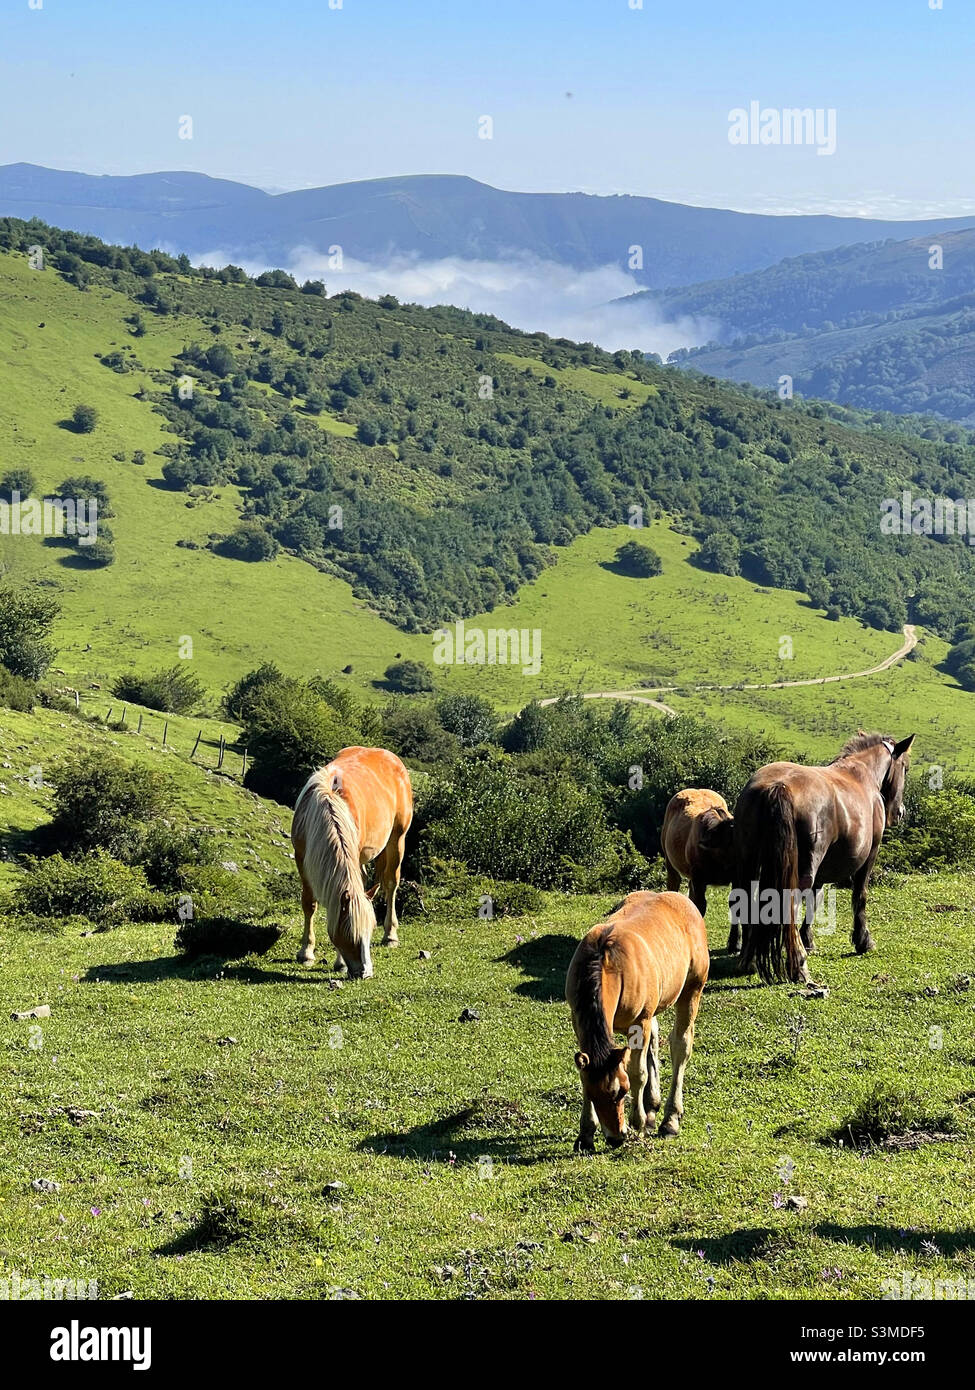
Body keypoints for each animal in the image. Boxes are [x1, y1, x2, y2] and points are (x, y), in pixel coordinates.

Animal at [291, 746, 413, 979]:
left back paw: (390, 935)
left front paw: (340, 963)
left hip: (398, 839)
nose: (365, 972)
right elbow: (309, 904)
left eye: (370, 930)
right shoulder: (301, 860)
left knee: (391, 884)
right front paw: (306, 952)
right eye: (348, 932)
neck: (327, 802)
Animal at [565, 891, 709, 1151]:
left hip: (692, 990)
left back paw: (670, 1120)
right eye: (592, 1094)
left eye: (622, 1092)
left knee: (680, 1047)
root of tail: (685, 901)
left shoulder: (640, 1022)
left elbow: (638, 1072)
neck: (606, 963)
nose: (615, 1138)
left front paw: (638, 1123)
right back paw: (653, 1107)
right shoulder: (578, 1021)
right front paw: (585, 1134)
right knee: (655, 1039)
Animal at [730, 732, 915, 984]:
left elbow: (814, 902)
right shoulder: (870, 856)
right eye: (905, 767)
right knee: (789, 907)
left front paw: (808, 940)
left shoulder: (819, 874)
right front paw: (863, 941)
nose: (900, 813)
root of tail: (778, 787)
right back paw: (798, 965)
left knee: (746, 899)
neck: (861, 774)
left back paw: (748, 960)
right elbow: (860, 896)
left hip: (749, 863)